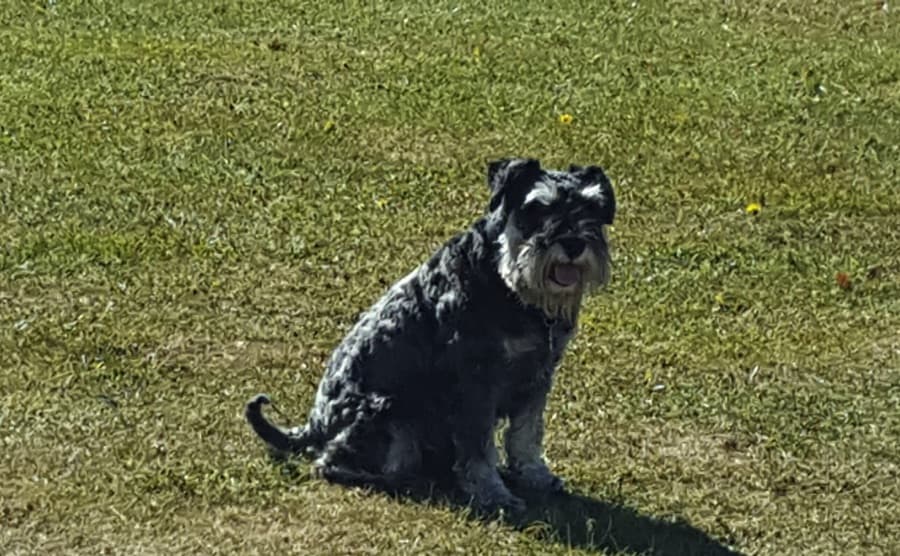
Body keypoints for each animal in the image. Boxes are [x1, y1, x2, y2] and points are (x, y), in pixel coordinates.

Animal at [244, 156, 612, 512]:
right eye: (537, 208)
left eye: (591, 207)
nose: (574, 243)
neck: (505, 281)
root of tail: (314, 426)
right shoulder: (475, 383)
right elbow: (479, 448)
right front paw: (493, 493)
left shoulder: (538, 374)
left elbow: (527, 434)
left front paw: (535, 474)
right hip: (388, 412)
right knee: (331, 462)